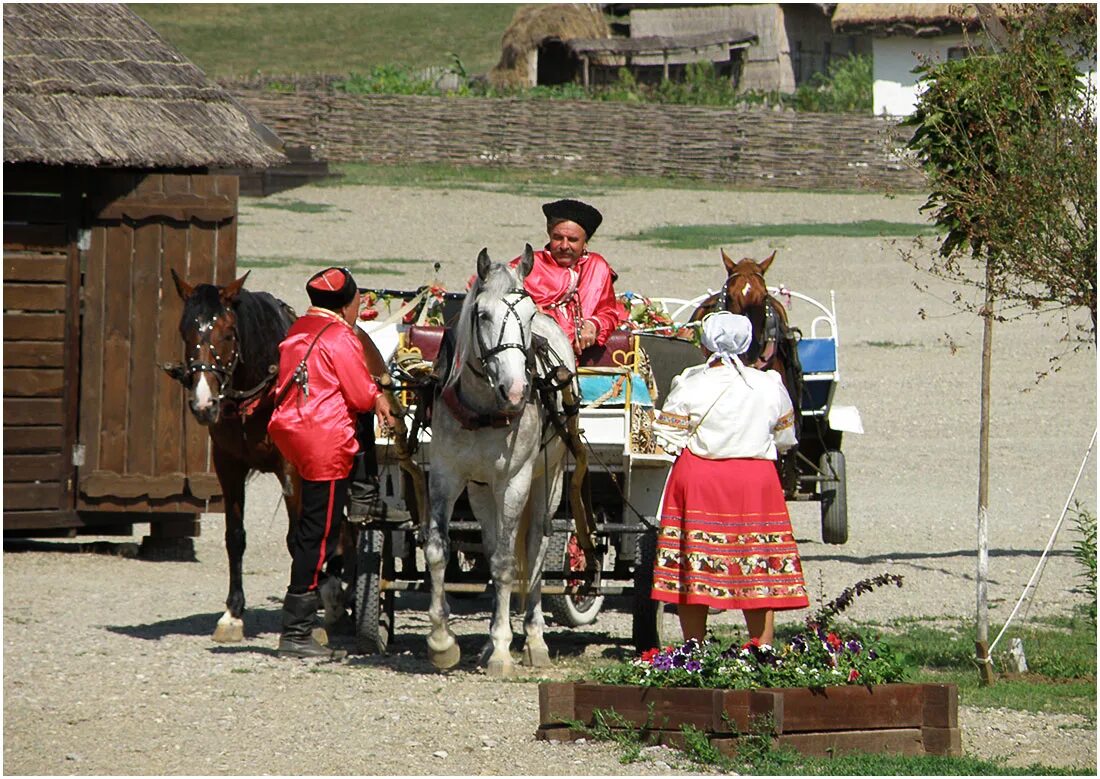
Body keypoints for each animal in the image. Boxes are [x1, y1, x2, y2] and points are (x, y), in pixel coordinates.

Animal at [162, 270, 303, 642]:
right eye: (185, 331)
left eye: (227, 333)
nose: (203, 403)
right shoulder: (229, 466)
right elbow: (235, 537)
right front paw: (233, 613)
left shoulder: (292, 470)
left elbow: (299, 538)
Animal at [422, 245, 576, 673]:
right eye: (482, 314)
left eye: (529, 314)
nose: (517, 389)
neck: (483, 409)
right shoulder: (446, 476)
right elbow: (438, 551)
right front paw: (442, 641)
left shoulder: (515, 481)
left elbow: (508, 564)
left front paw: (505, 648)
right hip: (480, 491)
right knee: (492, 546)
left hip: (547, 482)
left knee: (535, 548)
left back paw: (534, 640)